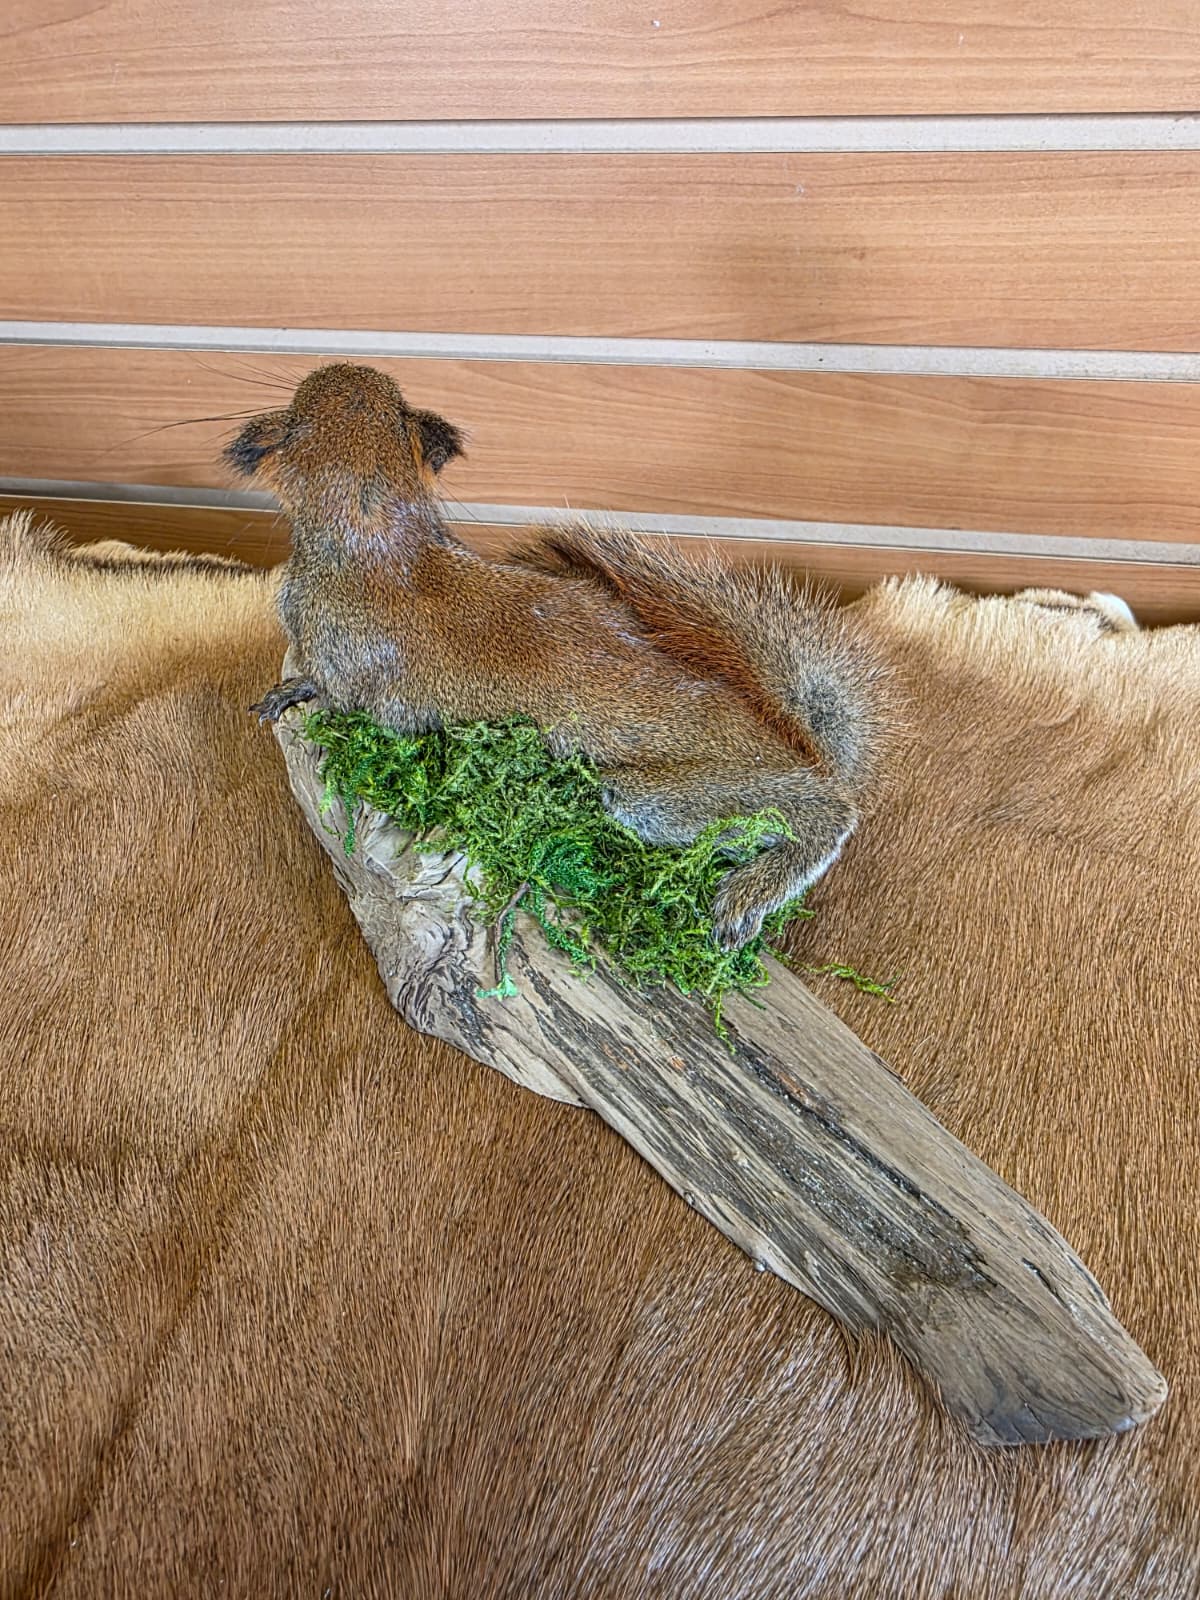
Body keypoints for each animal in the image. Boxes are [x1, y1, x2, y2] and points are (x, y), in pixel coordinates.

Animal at [227, 362, 883, 950]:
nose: (339, 369)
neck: (379, 537)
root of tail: (800, 748)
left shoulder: (344, 663)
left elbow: (330, 690)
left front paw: (288, 693)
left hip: (660, 796)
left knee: (827, 816)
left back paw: (753, 889)